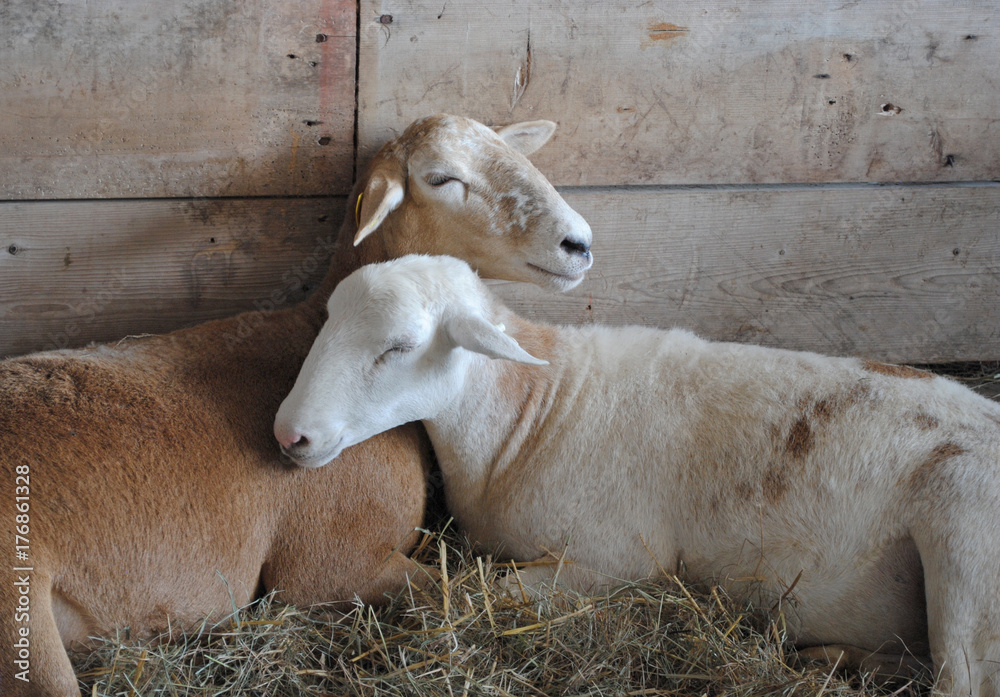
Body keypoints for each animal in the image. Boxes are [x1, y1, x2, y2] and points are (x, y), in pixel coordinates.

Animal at [276, 253, 1000, 697]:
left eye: (397, 347)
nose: (289, 434)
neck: (533, 410)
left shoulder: (616, 560)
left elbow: (494, 593)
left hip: (965, 533)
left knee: (961, 683)